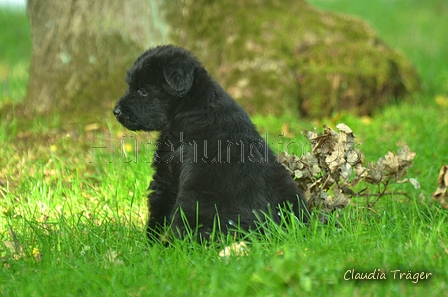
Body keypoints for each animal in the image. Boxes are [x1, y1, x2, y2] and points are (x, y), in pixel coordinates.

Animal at [113, 45, 308, 240]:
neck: (192, 105)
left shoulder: (166, 173)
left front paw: (150, 242)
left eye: (143, 91)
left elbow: (158, 207)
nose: (116, 111)